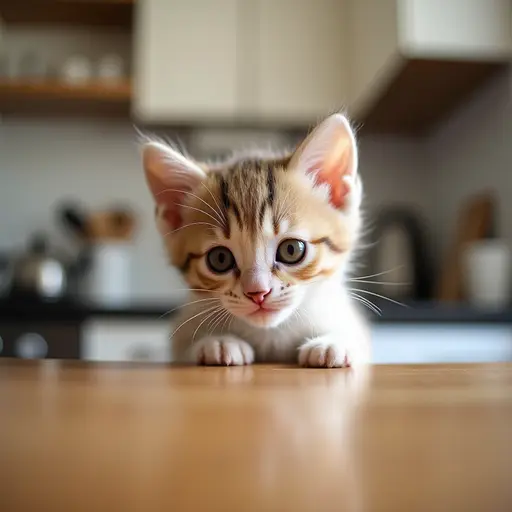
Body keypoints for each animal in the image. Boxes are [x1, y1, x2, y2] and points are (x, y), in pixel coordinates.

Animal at [142, 114, 370, 366]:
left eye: (292, 250)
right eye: (219, 258)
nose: (258, 292)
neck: (270, 335)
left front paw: (334, 343)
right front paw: (217, 342)